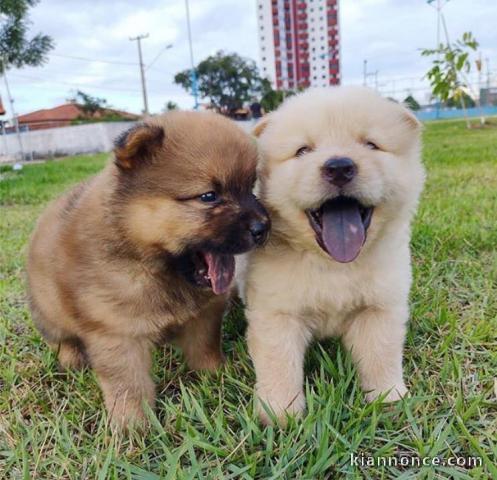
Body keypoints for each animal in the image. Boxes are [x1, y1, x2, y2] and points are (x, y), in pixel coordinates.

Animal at [26, 110, 268, 426]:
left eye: (251, 188)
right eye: (209, 196)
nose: (263, 227)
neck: (155, 270)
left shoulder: (204, 315)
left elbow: (204, 348)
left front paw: (217, 374)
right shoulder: (116, 334)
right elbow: (129, 385)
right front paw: (133, 425)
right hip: (49, 311)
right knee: (60, 339)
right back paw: (73, 359)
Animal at [240, 86, 422, 424]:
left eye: (371, 145)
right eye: (302, 151)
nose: (338, 166)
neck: (334, 265)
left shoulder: (379, 308)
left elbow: (381, 355)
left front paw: (389, 399)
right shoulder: (277, 314)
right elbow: (279, 363)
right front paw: (279, 414)